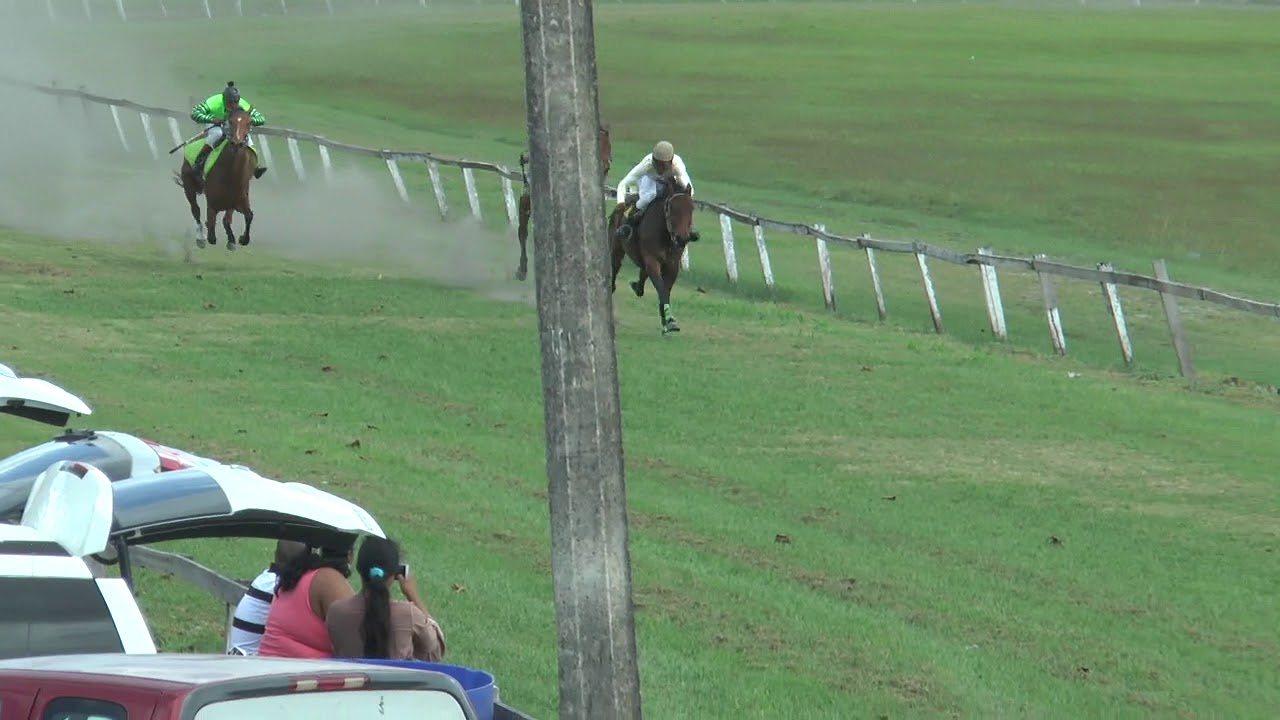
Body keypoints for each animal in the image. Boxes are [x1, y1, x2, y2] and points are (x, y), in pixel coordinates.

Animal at [172, 104, 264, 252]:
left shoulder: (238, 199)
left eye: (249, 122)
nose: (237, 144)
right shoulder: (212, 202)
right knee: (195, 210)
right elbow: (211, 226)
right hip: (188, 186)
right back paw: (200, 237)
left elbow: (246, 216)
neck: (231, 174)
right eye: (230, 121)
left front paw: (240, 239)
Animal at [608, 180, 697, 336]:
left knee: (642, 274)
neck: (665, 235)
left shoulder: (672, 266)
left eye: (691, 208)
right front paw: (669, 320)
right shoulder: (652, 260)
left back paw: (637, 286)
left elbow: (665, 289)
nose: (682, 238)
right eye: (672, 209)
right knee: (615, 268)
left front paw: (667, 321)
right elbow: (661, 287)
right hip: (616, 248)